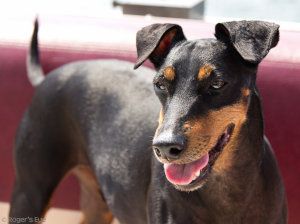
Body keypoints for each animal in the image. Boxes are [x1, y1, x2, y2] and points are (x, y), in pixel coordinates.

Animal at [8, 19, 286, 224]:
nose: (165, 147)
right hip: (28, 193)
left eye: (217, 83)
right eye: (160, 84)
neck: (227, 189)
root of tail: (46, 79)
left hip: (97, 203)